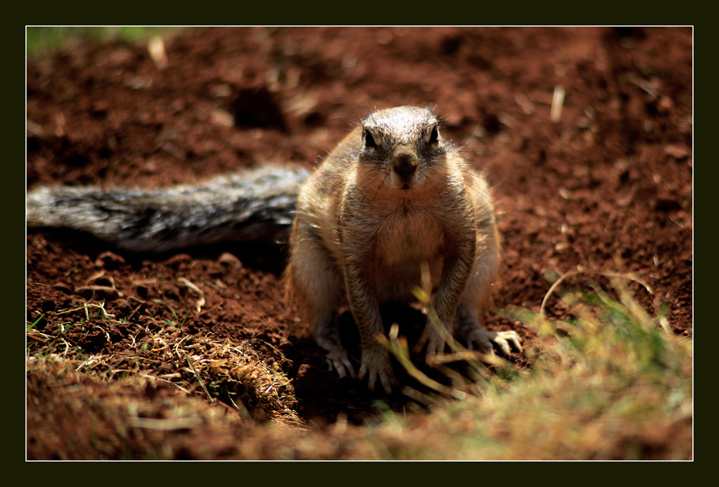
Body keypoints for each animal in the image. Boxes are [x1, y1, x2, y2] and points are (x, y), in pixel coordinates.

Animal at [28, 106, 524, 392]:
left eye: (435, 134)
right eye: (368, 139)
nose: (405, 163)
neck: (405, 203)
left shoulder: (467, 230)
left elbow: (451, 285)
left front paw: (437, 335)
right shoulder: (353, 247)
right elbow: (364, 312)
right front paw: (375, 362)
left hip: (489, 263)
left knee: (468, 305)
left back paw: (486, 336)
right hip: (313, 270)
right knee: (323, 322)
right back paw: (337, 355)